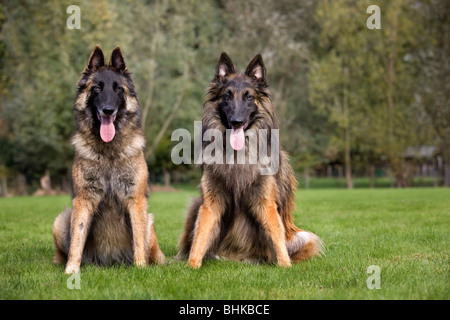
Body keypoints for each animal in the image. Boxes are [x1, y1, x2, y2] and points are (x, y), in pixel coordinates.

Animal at [52, 45, 165, 276]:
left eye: (118, 89)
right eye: (97, 88)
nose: (107, 110)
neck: (108, 152)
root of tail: (110, 262)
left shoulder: (135, 199)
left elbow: (138, 238)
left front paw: (140, 267)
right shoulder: (84, 199)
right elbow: (77, 238)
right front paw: (71, 270)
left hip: (149, 221)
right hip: (61, 222)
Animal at [178, 52, 322, 268]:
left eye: (249, 97)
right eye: (227, 96)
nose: (236, 121)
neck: (238, 154)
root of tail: (239, 257)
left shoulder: (265, 201)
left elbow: (276, 235)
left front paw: (285, 266)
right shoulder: (210, 201)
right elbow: (200, 235)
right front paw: (192, 265)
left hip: (303, 237)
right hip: (196, 205)